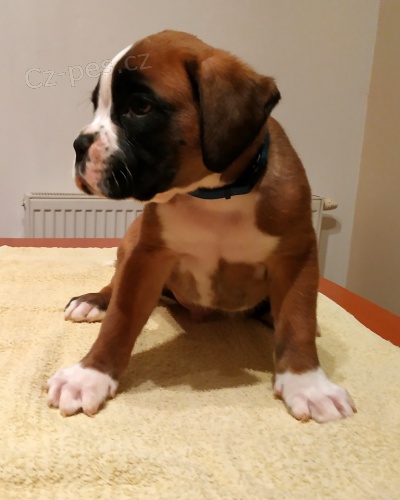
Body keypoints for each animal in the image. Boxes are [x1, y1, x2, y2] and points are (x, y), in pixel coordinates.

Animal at [47, 30, 356, 422]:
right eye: (96, 108)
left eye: (140, 107)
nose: (79, 144)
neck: (215, 194)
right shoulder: (148, 257)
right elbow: (121, 317)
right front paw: (90, 375)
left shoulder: (296, 253)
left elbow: (297, 317)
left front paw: (308, 383)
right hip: (131, 242)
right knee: (114, 285)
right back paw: (93, 301)